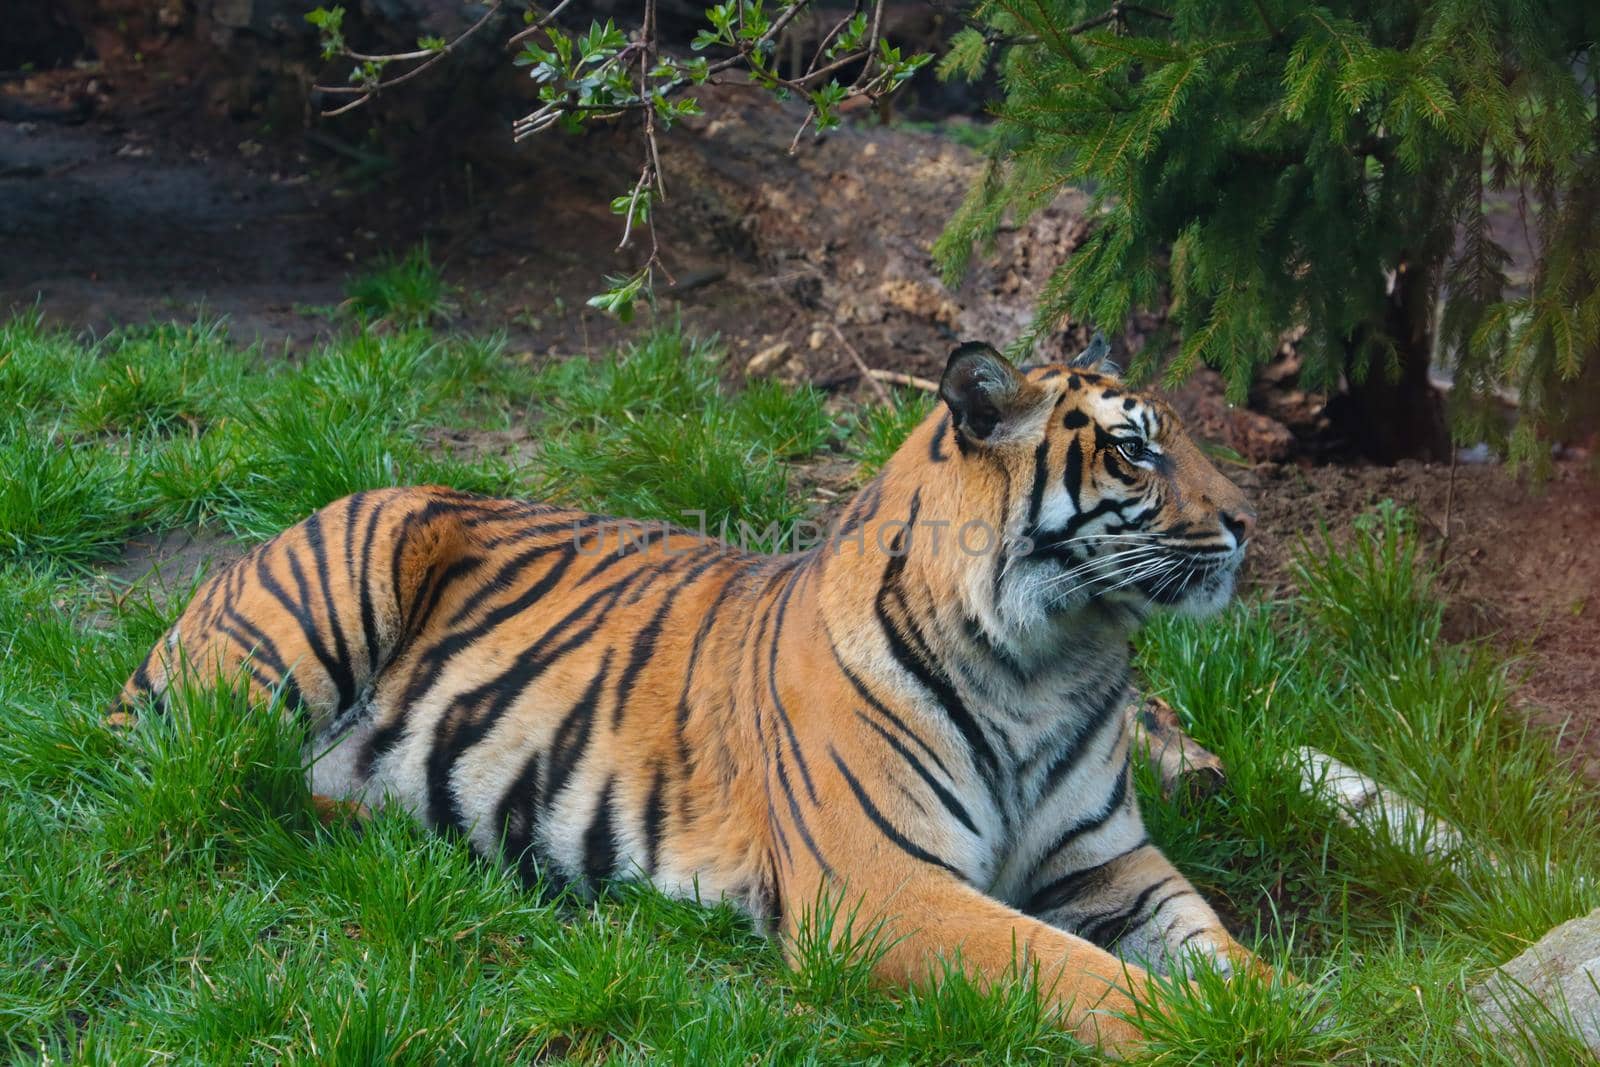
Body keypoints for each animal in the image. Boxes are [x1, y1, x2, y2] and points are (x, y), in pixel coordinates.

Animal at [118, 337, 1273, 1055]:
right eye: (1134, 446)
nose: (1248, 520)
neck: (1050, 658)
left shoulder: (1112, 863)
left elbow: (1224, 952)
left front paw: (1285, 1009)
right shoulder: (883, 889)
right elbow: (1068, 967)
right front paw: (1203, 1035)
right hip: (333, 592)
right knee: (191, 783)